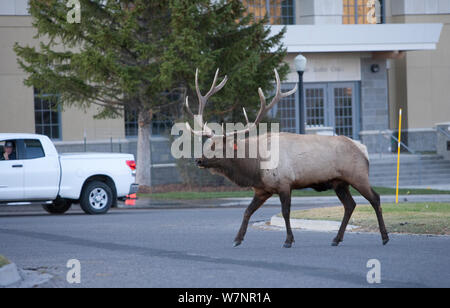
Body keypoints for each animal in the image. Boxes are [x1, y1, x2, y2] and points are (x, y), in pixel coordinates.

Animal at [185, 67, 388, 248]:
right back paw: (336, 239)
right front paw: (237, 239)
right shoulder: (262, 189)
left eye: (217, 147)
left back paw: (384, 237)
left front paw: (288, 241)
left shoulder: (284, 183)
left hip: (358, 175)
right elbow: (247, 211)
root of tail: (363, 149)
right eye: (207, 144)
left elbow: (285, 212)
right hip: (339, 182)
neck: (255, 167)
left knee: (375, 199)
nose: (198, 160)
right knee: (350, 205)